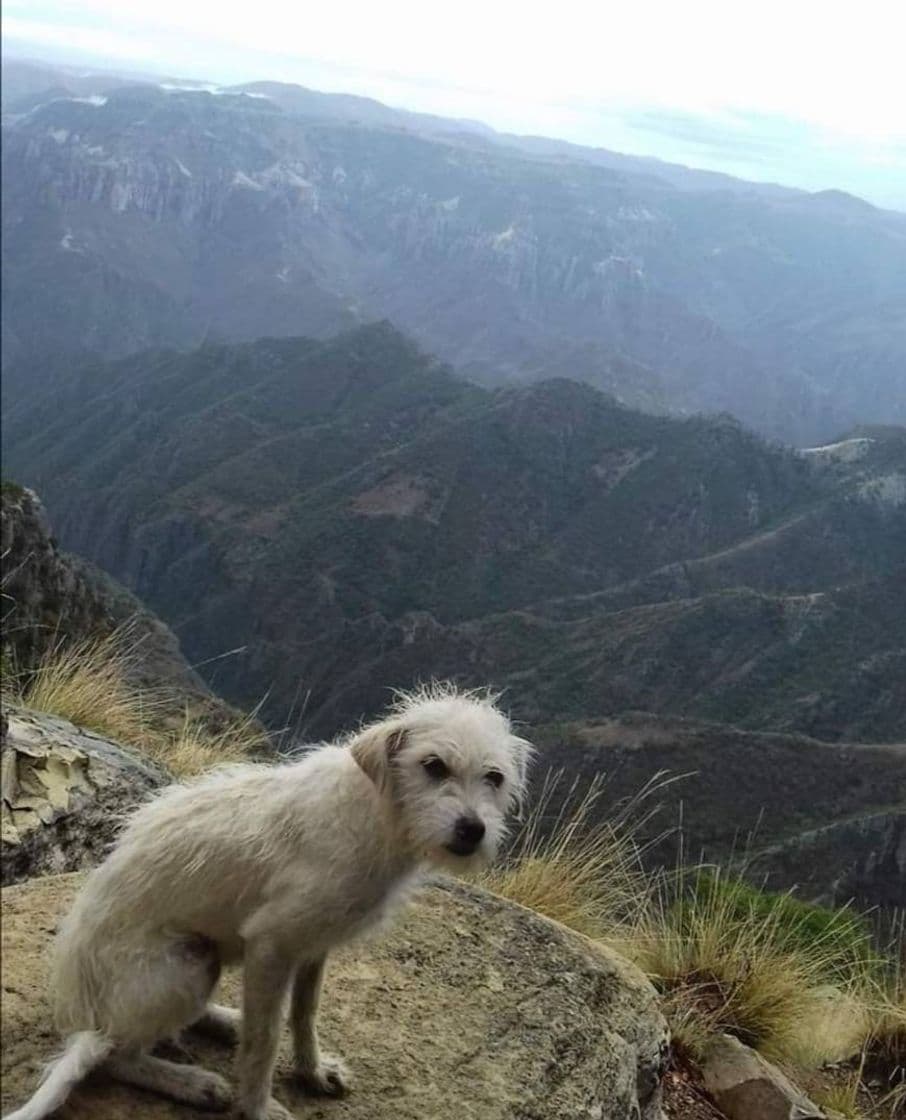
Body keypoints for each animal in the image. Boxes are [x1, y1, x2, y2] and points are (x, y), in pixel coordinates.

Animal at [5, 680, 530, 1120]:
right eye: (433, 765)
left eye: (495, 777)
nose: (473, 830)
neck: (377, 813)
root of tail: (81, 1016)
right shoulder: (272, 945)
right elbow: (265, 1040)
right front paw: (257, 1106)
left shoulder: (314, 945)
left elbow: (303, 1013)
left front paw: (312, 1072)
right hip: (188, 961)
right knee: (118, 1055)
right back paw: (191, 1082)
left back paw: (224, 1020)